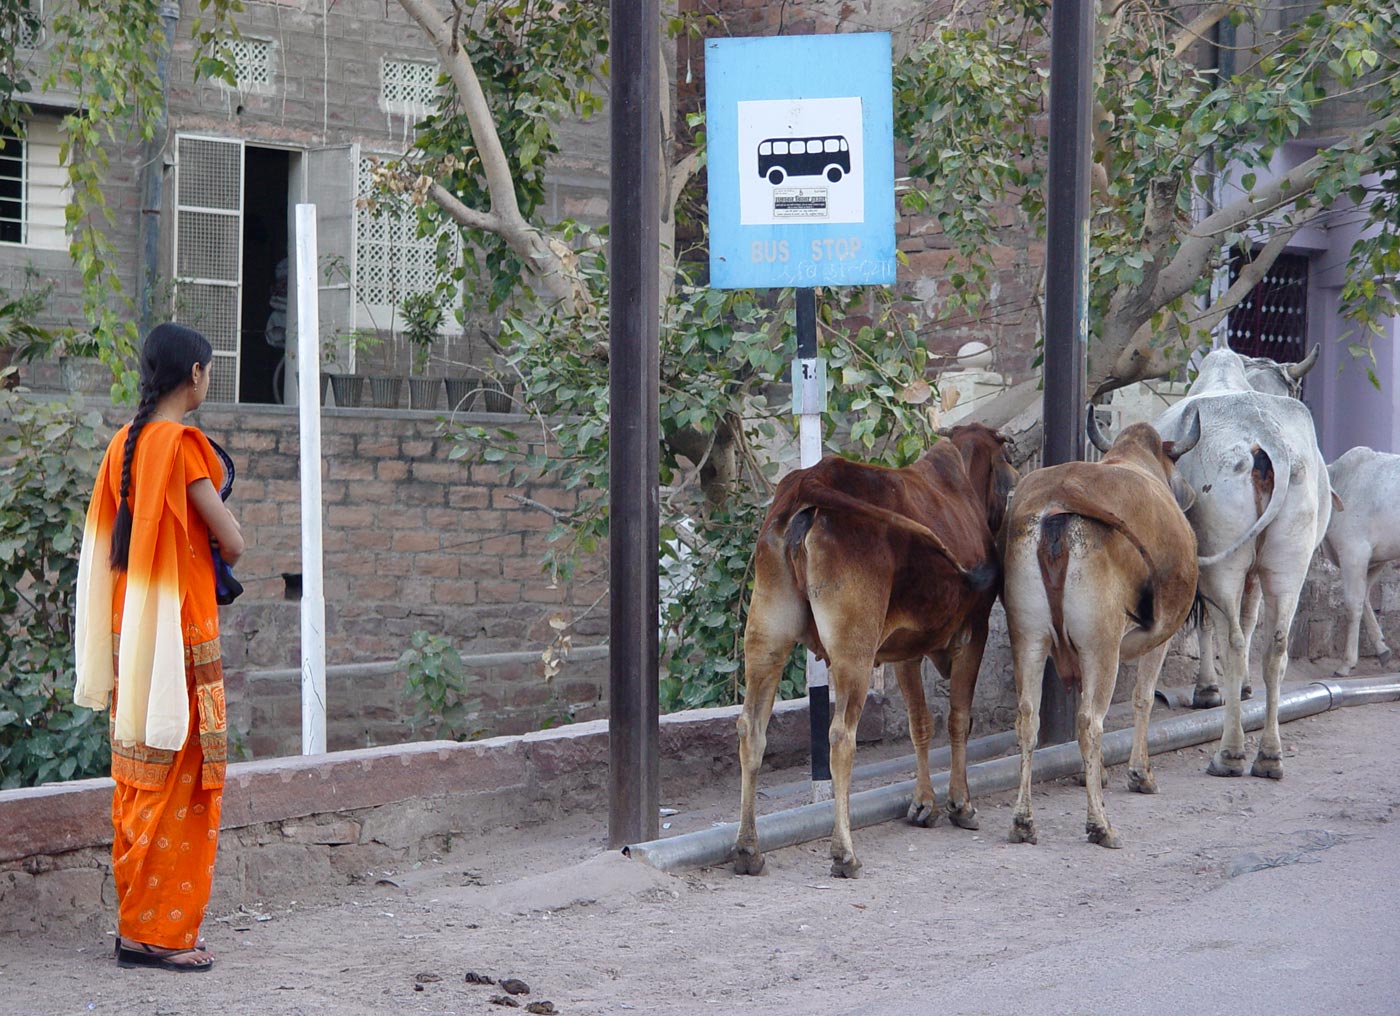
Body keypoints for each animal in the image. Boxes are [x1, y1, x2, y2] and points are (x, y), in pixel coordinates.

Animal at [733, 425, 1019, 878]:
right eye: (1008, 461)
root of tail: (808, 481)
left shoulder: (904, 651)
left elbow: (920, 722)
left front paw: (923, 803)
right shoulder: (973, 633)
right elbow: (958, 719)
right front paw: (961, 803)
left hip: (766, 636)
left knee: (751, 730)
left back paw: (748, 849)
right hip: (855, 650)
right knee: (840, 737)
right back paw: (844, 852)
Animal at [1002, 408, 1198, 850]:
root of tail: (1058, 497)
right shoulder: (1160, 637)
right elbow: (1143, 698)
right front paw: (1140, 774)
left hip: (1029, 637)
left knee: (1027, 719)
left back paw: (1023, 821)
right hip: (1101, 646)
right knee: (1091, 721)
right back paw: (1100, 824)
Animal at [1153, 348, 1327, 778]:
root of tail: (1268, 439)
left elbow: (1210, 626)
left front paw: (1207, 690)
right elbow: (1250, 621)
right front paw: (1242, 689)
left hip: (1222, 561)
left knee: (1230, 639)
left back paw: (1229, 754)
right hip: (1289, 562)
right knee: (1276, 645)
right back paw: (1269, 756)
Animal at [1316, 445, 1394, 677]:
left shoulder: (1354, 553)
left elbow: (1353, 604)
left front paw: (1346, 663)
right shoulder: (1376, 559)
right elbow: (1365, 598)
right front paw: (1382, 648)